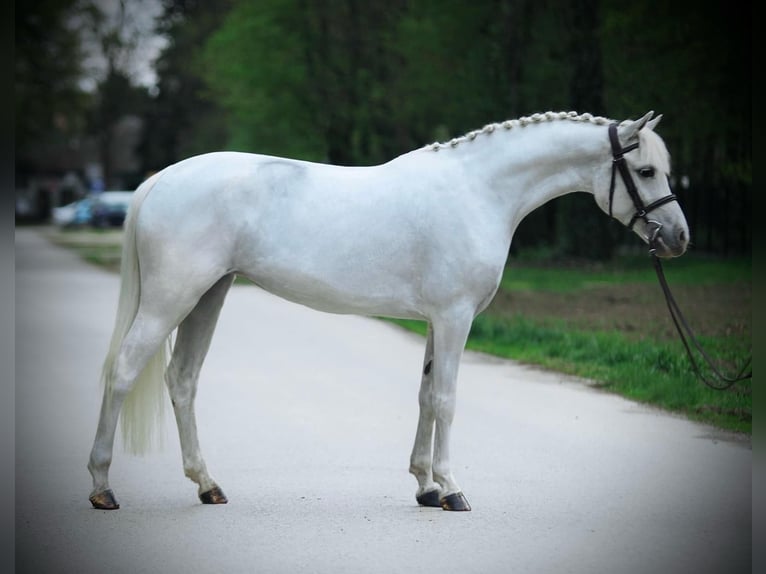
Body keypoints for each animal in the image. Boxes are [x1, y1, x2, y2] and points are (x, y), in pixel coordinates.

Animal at [88, 111, 688, 512]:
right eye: (645, 170)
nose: (679, 239)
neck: (478, 191)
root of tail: (162, 179)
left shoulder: (436, 321)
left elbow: (424, 395)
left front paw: (425, 486)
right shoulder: (455, 318)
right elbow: (446, 400)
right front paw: (452, 490)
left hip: (207, 297)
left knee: (183, 380)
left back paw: (208, 485)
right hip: (172, 298)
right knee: (122, 370)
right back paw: (102, 487)